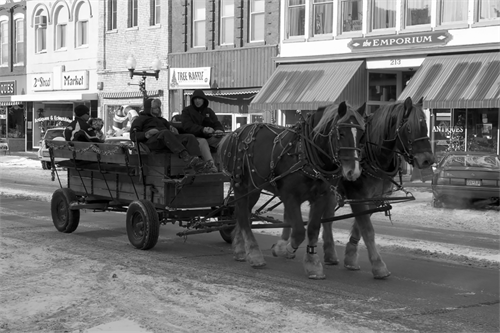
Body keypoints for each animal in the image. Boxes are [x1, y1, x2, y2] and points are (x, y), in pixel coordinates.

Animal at [221, 102, 366, 278]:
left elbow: (312, 229)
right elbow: (298, 231)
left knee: (243, 213)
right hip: (241, 185)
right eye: (341, 133)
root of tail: (233, 133)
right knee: (242, 215)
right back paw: (255, 255)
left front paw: (312, 263)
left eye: (361, 135)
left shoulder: (321, 196)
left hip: (254, 189)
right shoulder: (289, 196)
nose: (354, 171)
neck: (304, 155)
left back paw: (239, 248)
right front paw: (283, 249)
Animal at [284, 98, 436, 278]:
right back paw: (284, 244)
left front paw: (350, 256)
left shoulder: (373, 198)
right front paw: (378, 266)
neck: (373, 155)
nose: (428, 160)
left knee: (326, 219)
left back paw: (329, 253)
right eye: (409, 128)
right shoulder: (357, 195)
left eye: (425, 126)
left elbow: (360, 227)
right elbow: (367, 229)